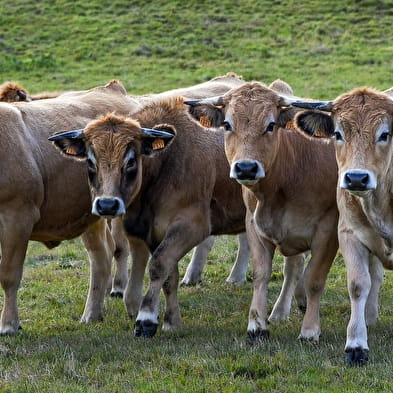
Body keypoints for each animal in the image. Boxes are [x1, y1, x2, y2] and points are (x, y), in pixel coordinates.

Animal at [49, 95, 306, 336]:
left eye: (130, 161)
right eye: (91, 162)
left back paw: (281, 311)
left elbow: (158, 265)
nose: (107, 205)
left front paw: (146, 319)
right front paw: (172, 321)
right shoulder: (154, 232)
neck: (166, 163)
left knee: (293, 264)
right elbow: (168, 275)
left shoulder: (192, 226)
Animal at [185, 80, 338, 344]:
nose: (246, 167)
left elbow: (315, 279)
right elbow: (261, 274)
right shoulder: (255, 225)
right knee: (294, 267)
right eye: (227, 124)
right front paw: (257, 325)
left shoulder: (328, 231)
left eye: (271, 125)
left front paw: (310, 330)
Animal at [290, 86, 392, 364]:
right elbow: (358, 285)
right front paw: (356, 344)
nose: (356, 177)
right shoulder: (349, 234)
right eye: (337, 133)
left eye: (385, 134)